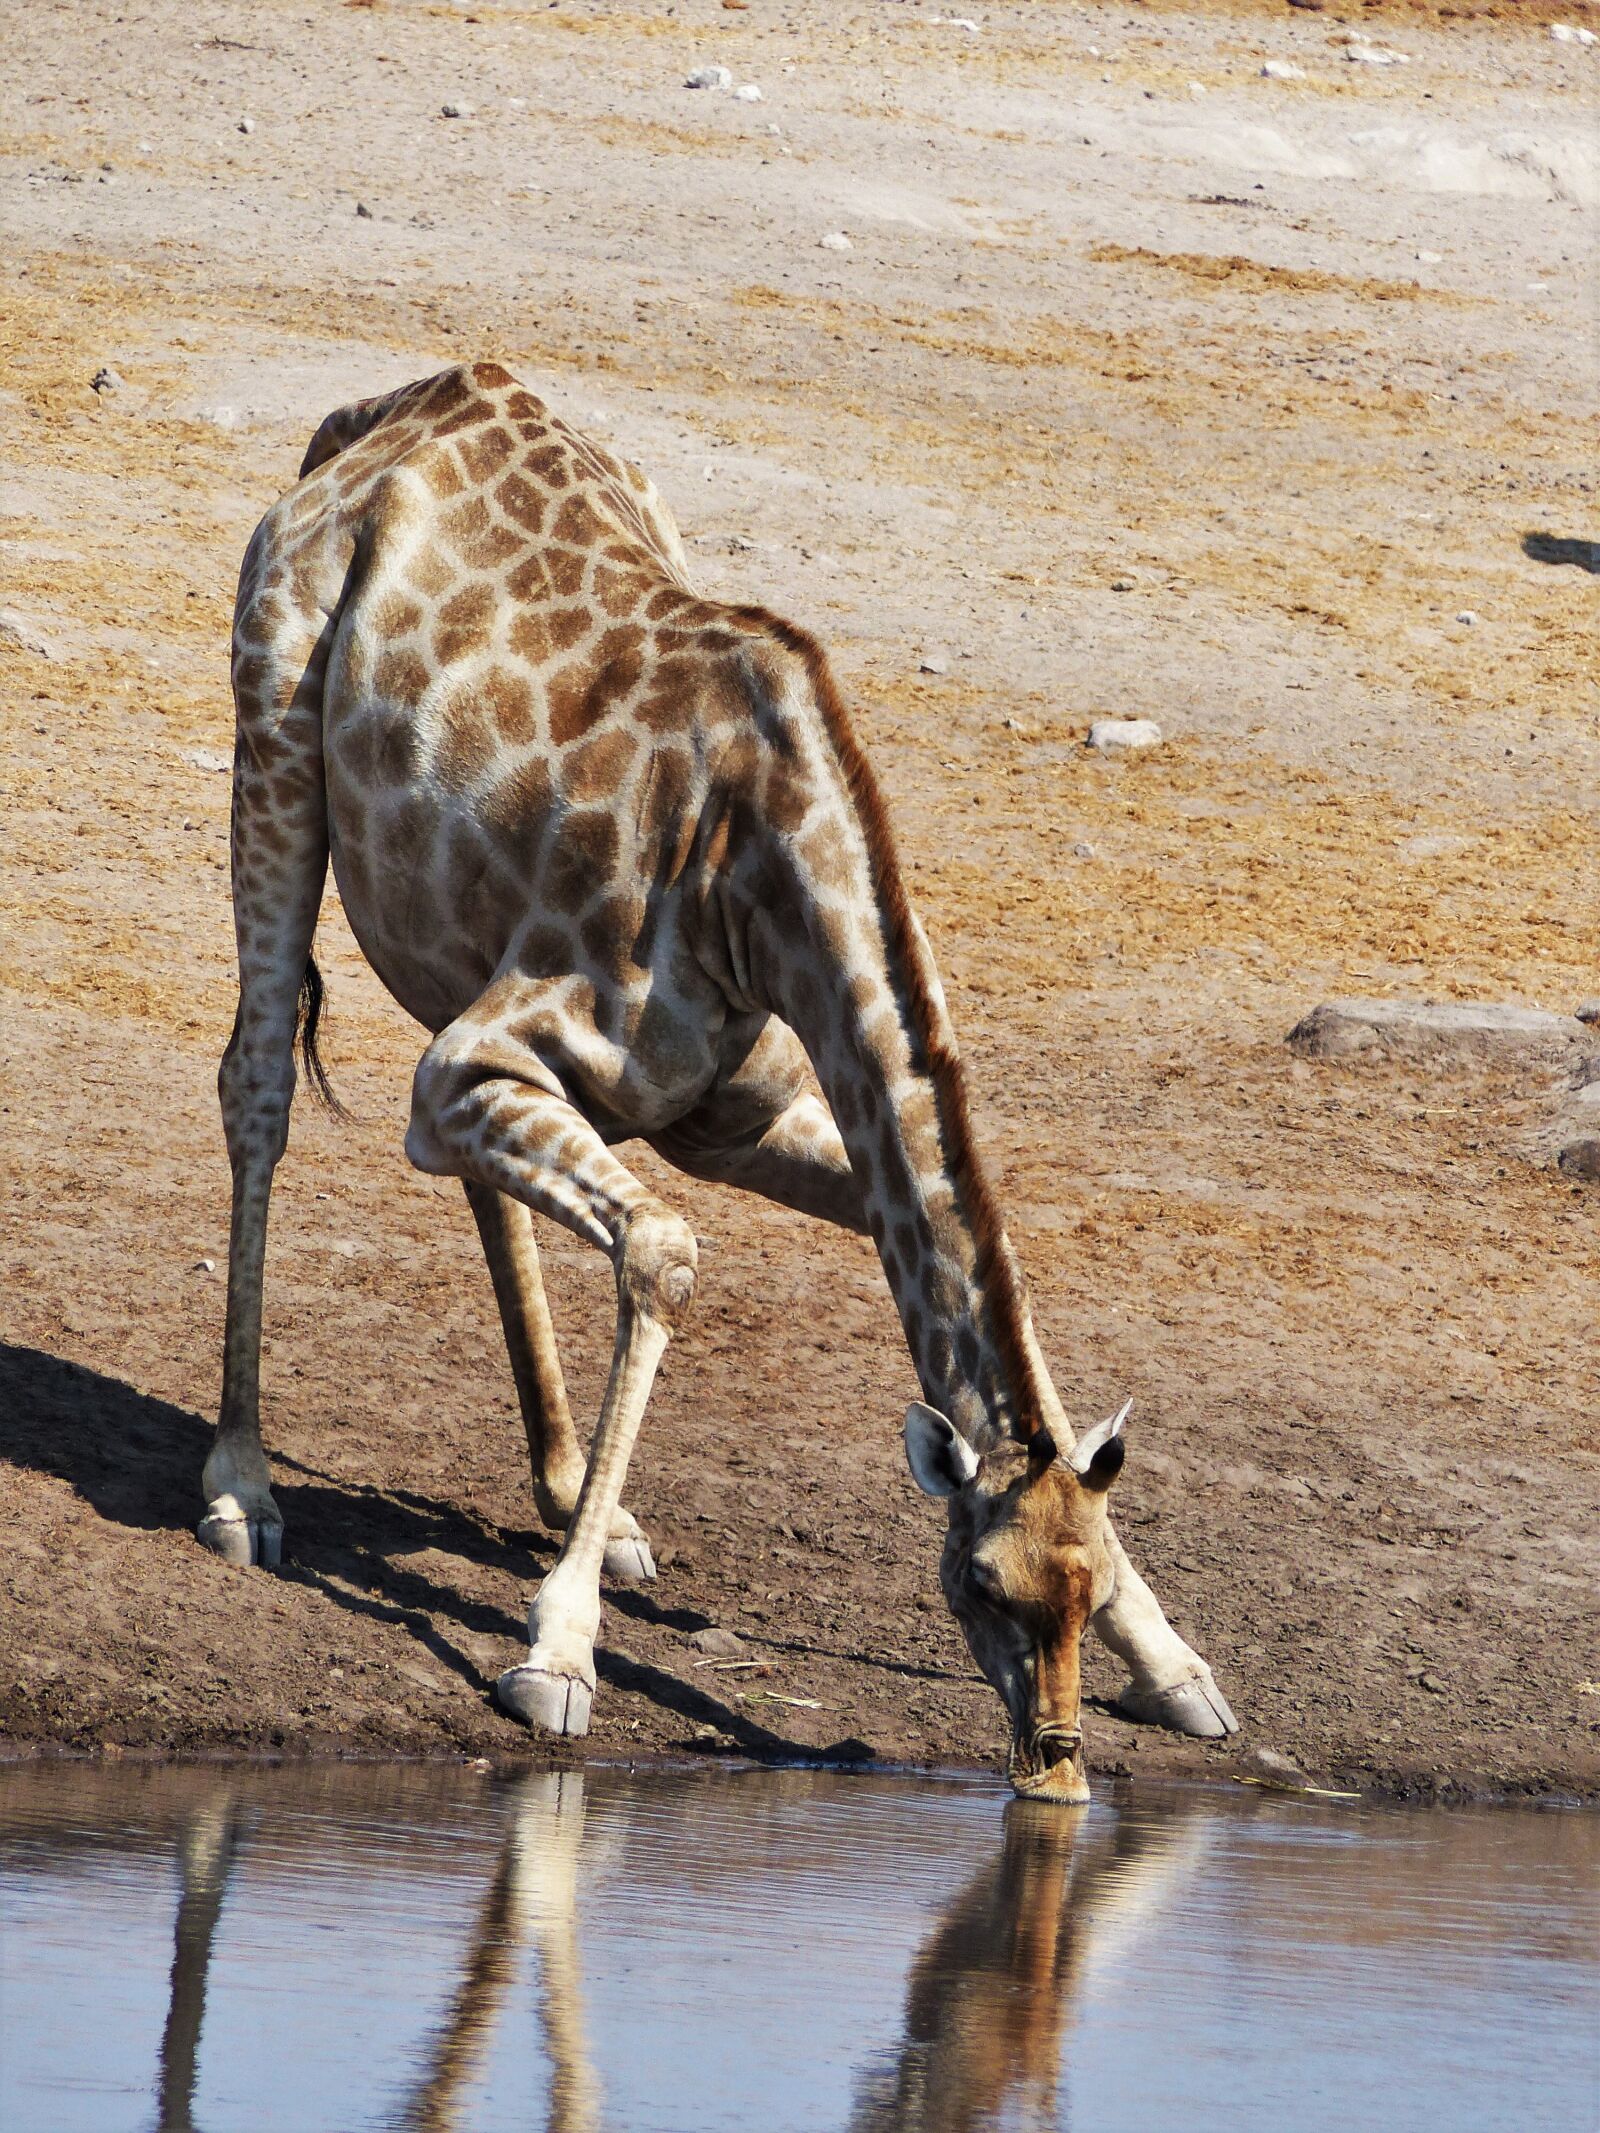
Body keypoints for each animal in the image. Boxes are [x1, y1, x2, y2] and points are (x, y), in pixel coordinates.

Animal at [208, 360, 1237, 1802]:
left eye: (1080, 1591)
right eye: (979, 1584)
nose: (1053, 1777)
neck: (761, 877)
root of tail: (379, 418)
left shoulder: (724, 1113)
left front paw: (1179, 1664)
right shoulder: (483, 1057)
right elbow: (663, 1252)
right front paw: (557, 1653)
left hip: (438, 910)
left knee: (466, 1177)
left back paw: (579, 1491)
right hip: (276, 729)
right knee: (256, 1080)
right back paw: (241, 1487)